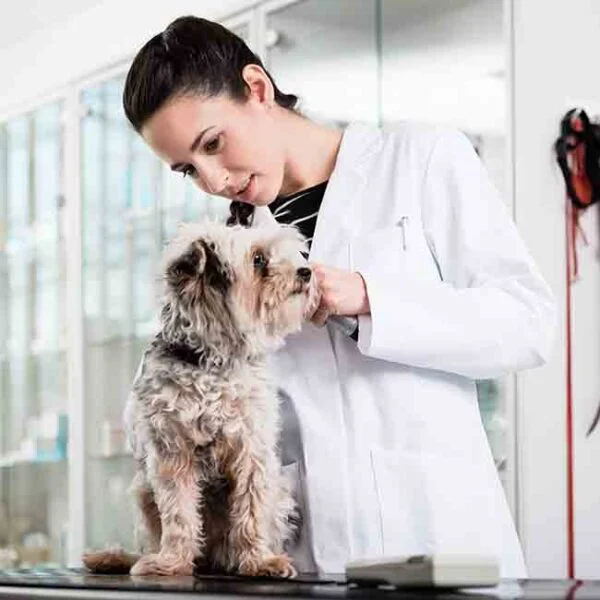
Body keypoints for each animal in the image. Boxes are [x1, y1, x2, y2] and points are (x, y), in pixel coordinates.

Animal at [82, 220, 322, 576]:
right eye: (258, 260)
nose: (306, 272)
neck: (211, 362)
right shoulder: (172, 453)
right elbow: (179, 513)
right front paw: (171, 562)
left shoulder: (250, 450)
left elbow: (251, 510)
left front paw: (259, 560)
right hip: (142, 491)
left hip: (279, 491)